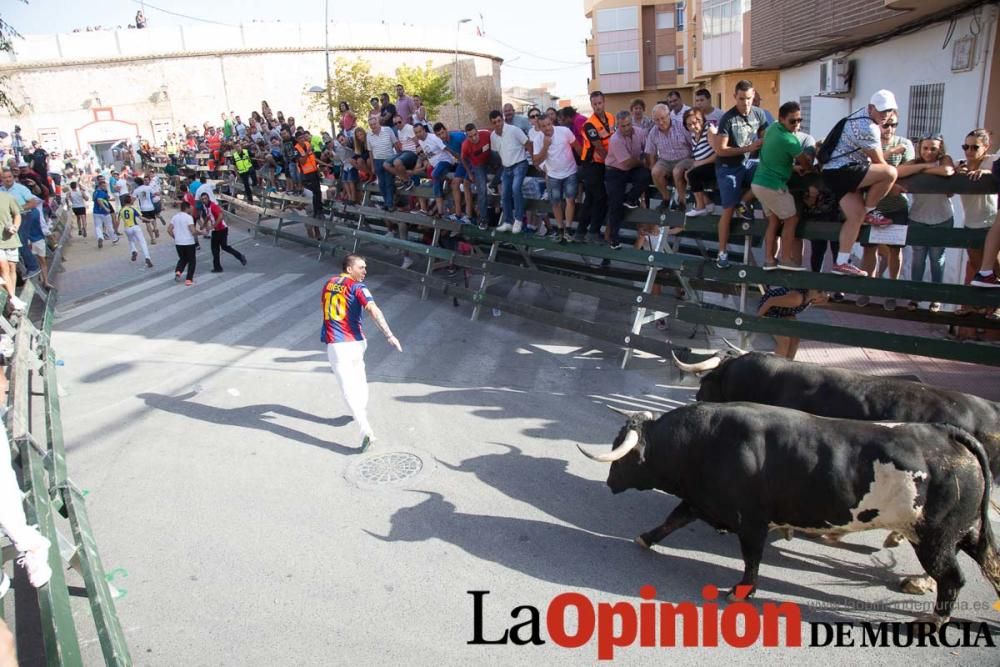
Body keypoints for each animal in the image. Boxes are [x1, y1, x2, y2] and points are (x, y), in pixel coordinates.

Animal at [580, 400, 1000, 624]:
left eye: (621, 454)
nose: (610, 481)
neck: (703, 442)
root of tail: (946, 433)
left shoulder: (751, 521)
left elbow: (751, 557)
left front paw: (741, 591)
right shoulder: (702, 501)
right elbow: (673, 519)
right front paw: (646, 537)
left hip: (934, 538)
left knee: (952, 577)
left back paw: (934, 619)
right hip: (963, 533)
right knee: (989, 561)